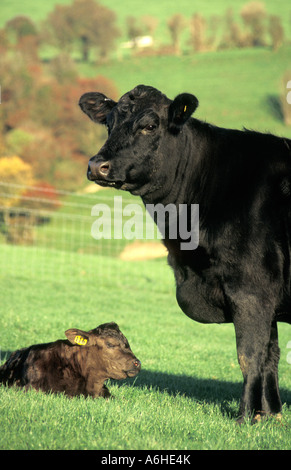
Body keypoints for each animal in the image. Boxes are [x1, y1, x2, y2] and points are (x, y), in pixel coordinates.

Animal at [79, 85, 291, 426]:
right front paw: (270, 416)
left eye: (150, 125)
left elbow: (249, 356)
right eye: (108, 124)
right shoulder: (266, 295)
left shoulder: (251, 288)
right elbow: (270, 356)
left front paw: (245, 418)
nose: (96, 165)